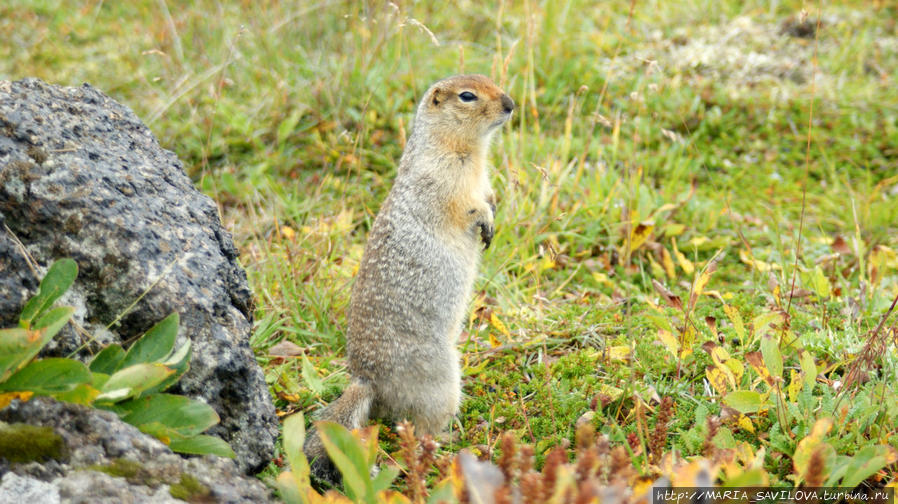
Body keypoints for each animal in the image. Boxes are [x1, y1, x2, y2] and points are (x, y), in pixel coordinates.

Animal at [300, 75, 512, 484]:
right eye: (467, 96)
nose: (510, 104)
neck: (469, 150)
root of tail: (365, 378)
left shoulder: (481, 177)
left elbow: (489, 194)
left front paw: (494, 212)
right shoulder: (444, 181)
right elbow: (465, 205)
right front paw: (485, 220)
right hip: (439, 379)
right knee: (420, 427)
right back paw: (451, 442)